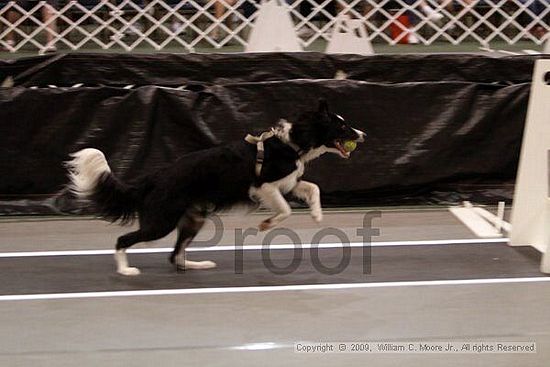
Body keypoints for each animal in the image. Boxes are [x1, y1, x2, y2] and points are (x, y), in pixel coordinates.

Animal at [68, 100, 366, 276]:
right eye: (342, 126)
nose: (363, 135)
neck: (293, 142)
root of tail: (153, 178)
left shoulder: (288, 182)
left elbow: (313, 188)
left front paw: (317, 214)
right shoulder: (263, 186)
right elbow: (284, 210)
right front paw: (266, 224)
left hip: (193, 219)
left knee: (175, 256)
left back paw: (196, 264)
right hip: (161, 222)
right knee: (124, 240)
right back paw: (125, 270)